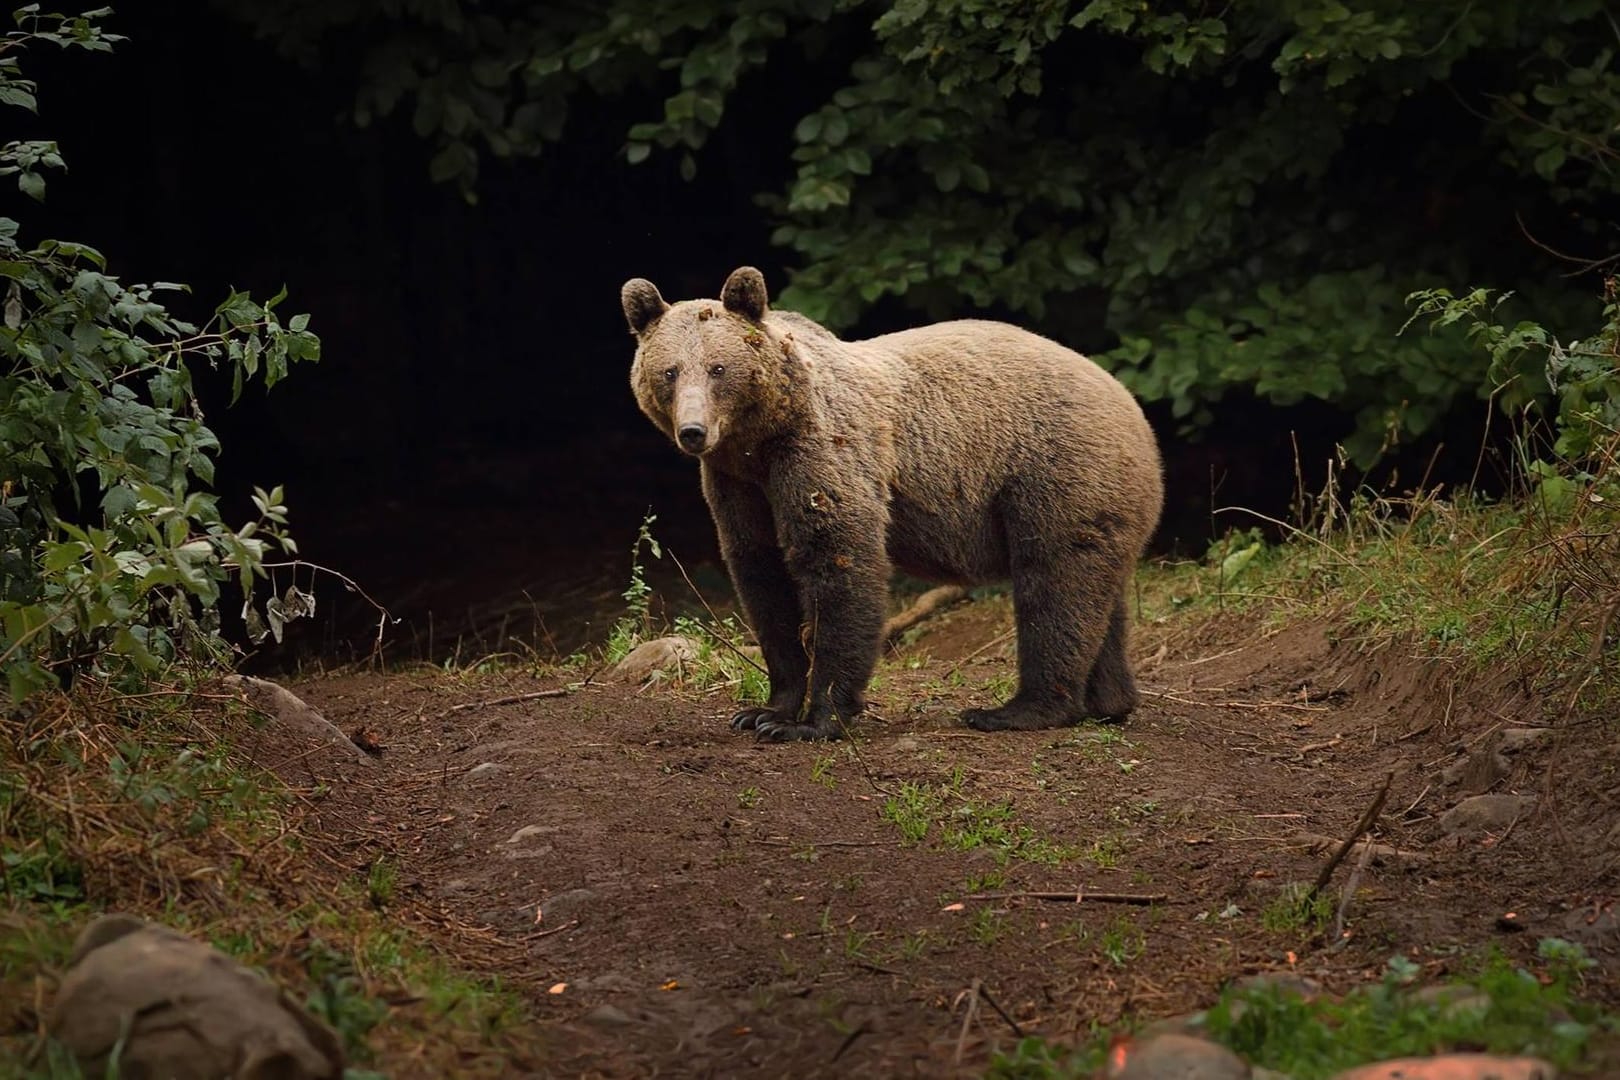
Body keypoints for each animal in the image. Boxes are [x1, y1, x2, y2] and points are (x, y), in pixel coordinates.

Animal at [622, 268, 1166, 744]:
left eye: (718, 368)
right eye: (669, 371)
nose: (694, 431)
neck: (761, 439)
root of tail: (1130, 403)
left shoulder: (823, 452)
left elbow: (839, 560)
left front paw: (813, 720)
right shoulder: (738, 484)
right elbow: (762, 574)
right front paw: (764, 710)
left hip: (1056, 468)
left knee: (1053, 585)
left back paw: (1016, 709)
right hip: (1099, 496)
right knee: (1097, 592)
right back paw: (1109, 701)